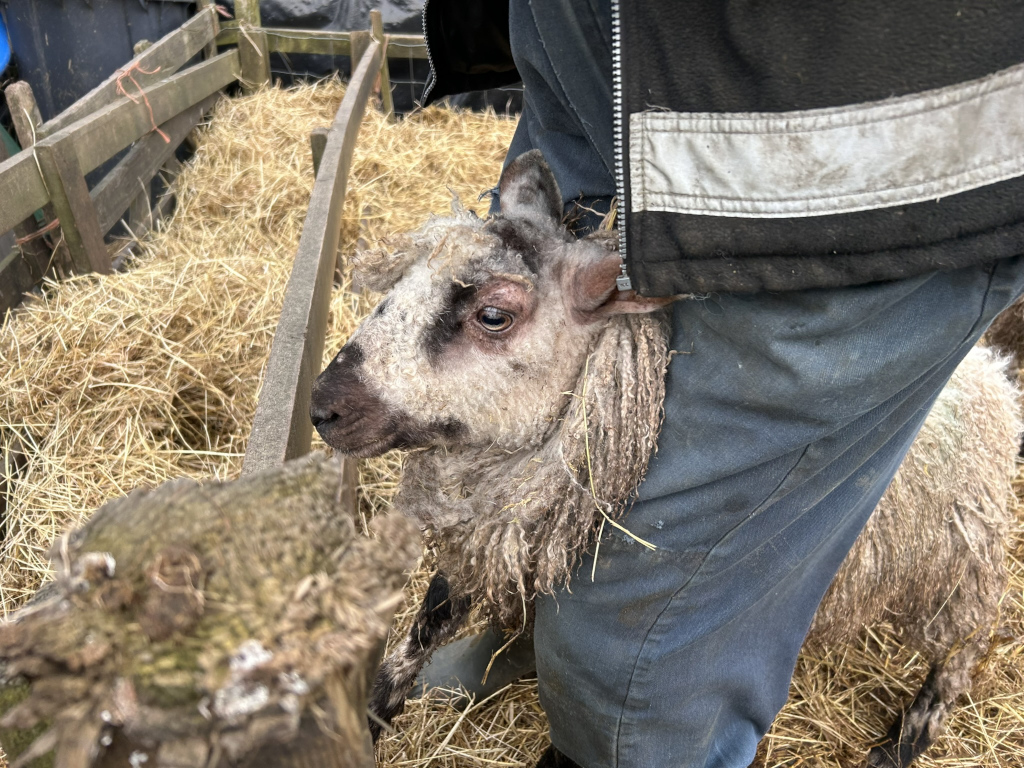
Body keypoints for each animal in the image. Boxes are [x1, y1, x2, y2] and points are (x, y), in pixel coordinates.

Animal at [309, 150, 1022, 768]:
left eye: (492, 315)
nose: (322, 406)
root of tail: (992, 371)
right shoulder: (497, 523)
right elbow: (427, 621)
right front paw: (370, 717)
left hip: (958, 556)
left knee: (969, 640)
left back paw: (908, 737)